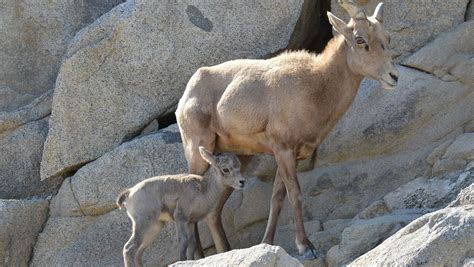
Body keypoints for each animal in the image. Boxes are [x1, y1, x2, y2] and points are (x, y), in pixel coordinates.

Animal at [116, 148, 244, 266]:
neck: (203, 190)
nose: (242, 182)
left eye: (239, 165)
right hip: (144, 223)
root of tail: (129, 193)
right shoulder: (180, 217)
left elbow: (192, 243)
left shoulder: (191, 222)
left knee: (138, 251)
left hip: (155, 226)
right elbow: (184, 240)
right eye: (225, 169)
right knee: (129, 249)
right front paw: (182, 260)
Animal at [176, 0, 398, 260]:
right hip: (198, 152)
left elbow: (277, 198)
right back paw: (198, 257)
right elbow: (295, 195)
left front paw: (267, 242)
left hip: (239, 158)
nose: (393, 76)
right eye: (360, 39)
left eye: (387, 37)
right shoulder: (283, 150)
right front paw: (306, 247)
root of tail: (187, 94)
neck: (314, 86)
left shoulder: (288, 154)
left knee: (214, 211)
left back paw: (223, 252)